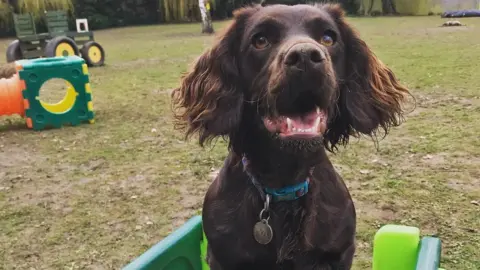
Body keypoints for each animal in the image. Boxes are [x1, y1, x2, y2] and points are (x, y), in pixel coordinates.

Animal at [172, 3, 408, 268]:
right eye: (260, 40)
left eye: (328, 38)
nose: (305, 56)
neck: (282, 186)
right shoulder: (221, 255)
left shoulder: (340, 251)